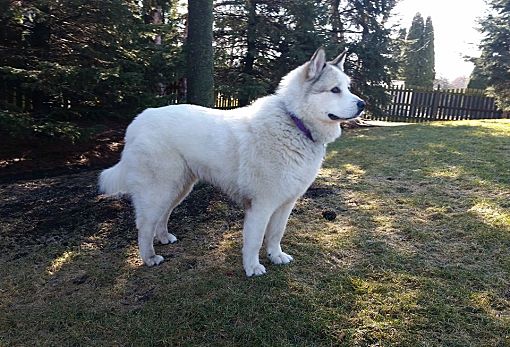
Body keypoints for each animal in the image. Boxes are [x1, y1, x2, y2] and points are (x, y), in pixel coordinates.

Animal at [98, 48, 362, 278]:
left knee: (162, 216)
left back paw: (163, 238)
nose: (363, 104)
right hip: (159, 189)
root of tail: (138, 121)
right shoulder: (261, 205)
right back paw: (149, 257)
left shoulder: (286, 203)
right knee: (144, 225)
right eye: (335, 90)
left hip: (178, 188)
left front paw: (276, 256)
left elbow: (276, 234)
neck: (294, 122)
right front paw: (252, 267)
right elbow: (254, 240)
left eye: (347, 88)